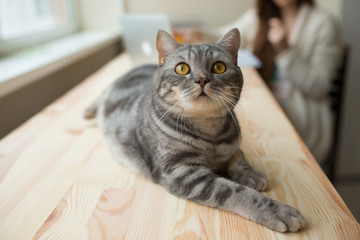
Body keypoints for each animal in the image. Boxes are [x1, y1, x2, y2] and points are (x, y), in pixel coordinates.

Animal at [84, 28, 304, 232]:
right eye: (182, 68)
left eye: (218, 67)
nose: (202, 79)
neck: (209, 131)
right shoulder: (182, 171)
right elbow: (233, 191)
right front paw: (276, 210)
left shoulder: (232, 144)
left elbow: (238, 158)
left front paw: (251, 174)